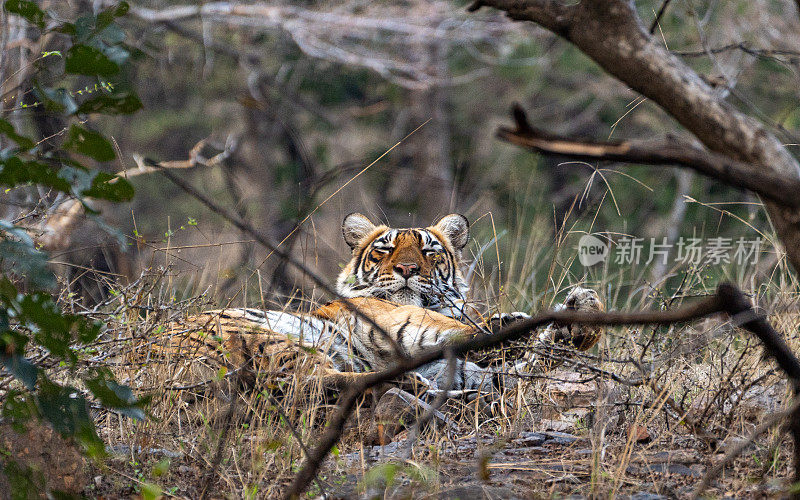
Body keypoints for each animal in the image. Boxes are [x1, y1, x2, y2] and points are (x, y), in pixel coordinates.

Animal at [156, 215, 604, 394]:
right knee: (308, 381)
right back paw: (402, 384)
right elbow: (473, 332)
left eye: (428, 250)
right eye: (385, 250)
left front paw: (581, 314)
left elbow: (521, 366)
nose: (406, 269)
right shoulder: (409, 322)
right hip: (262, 336)